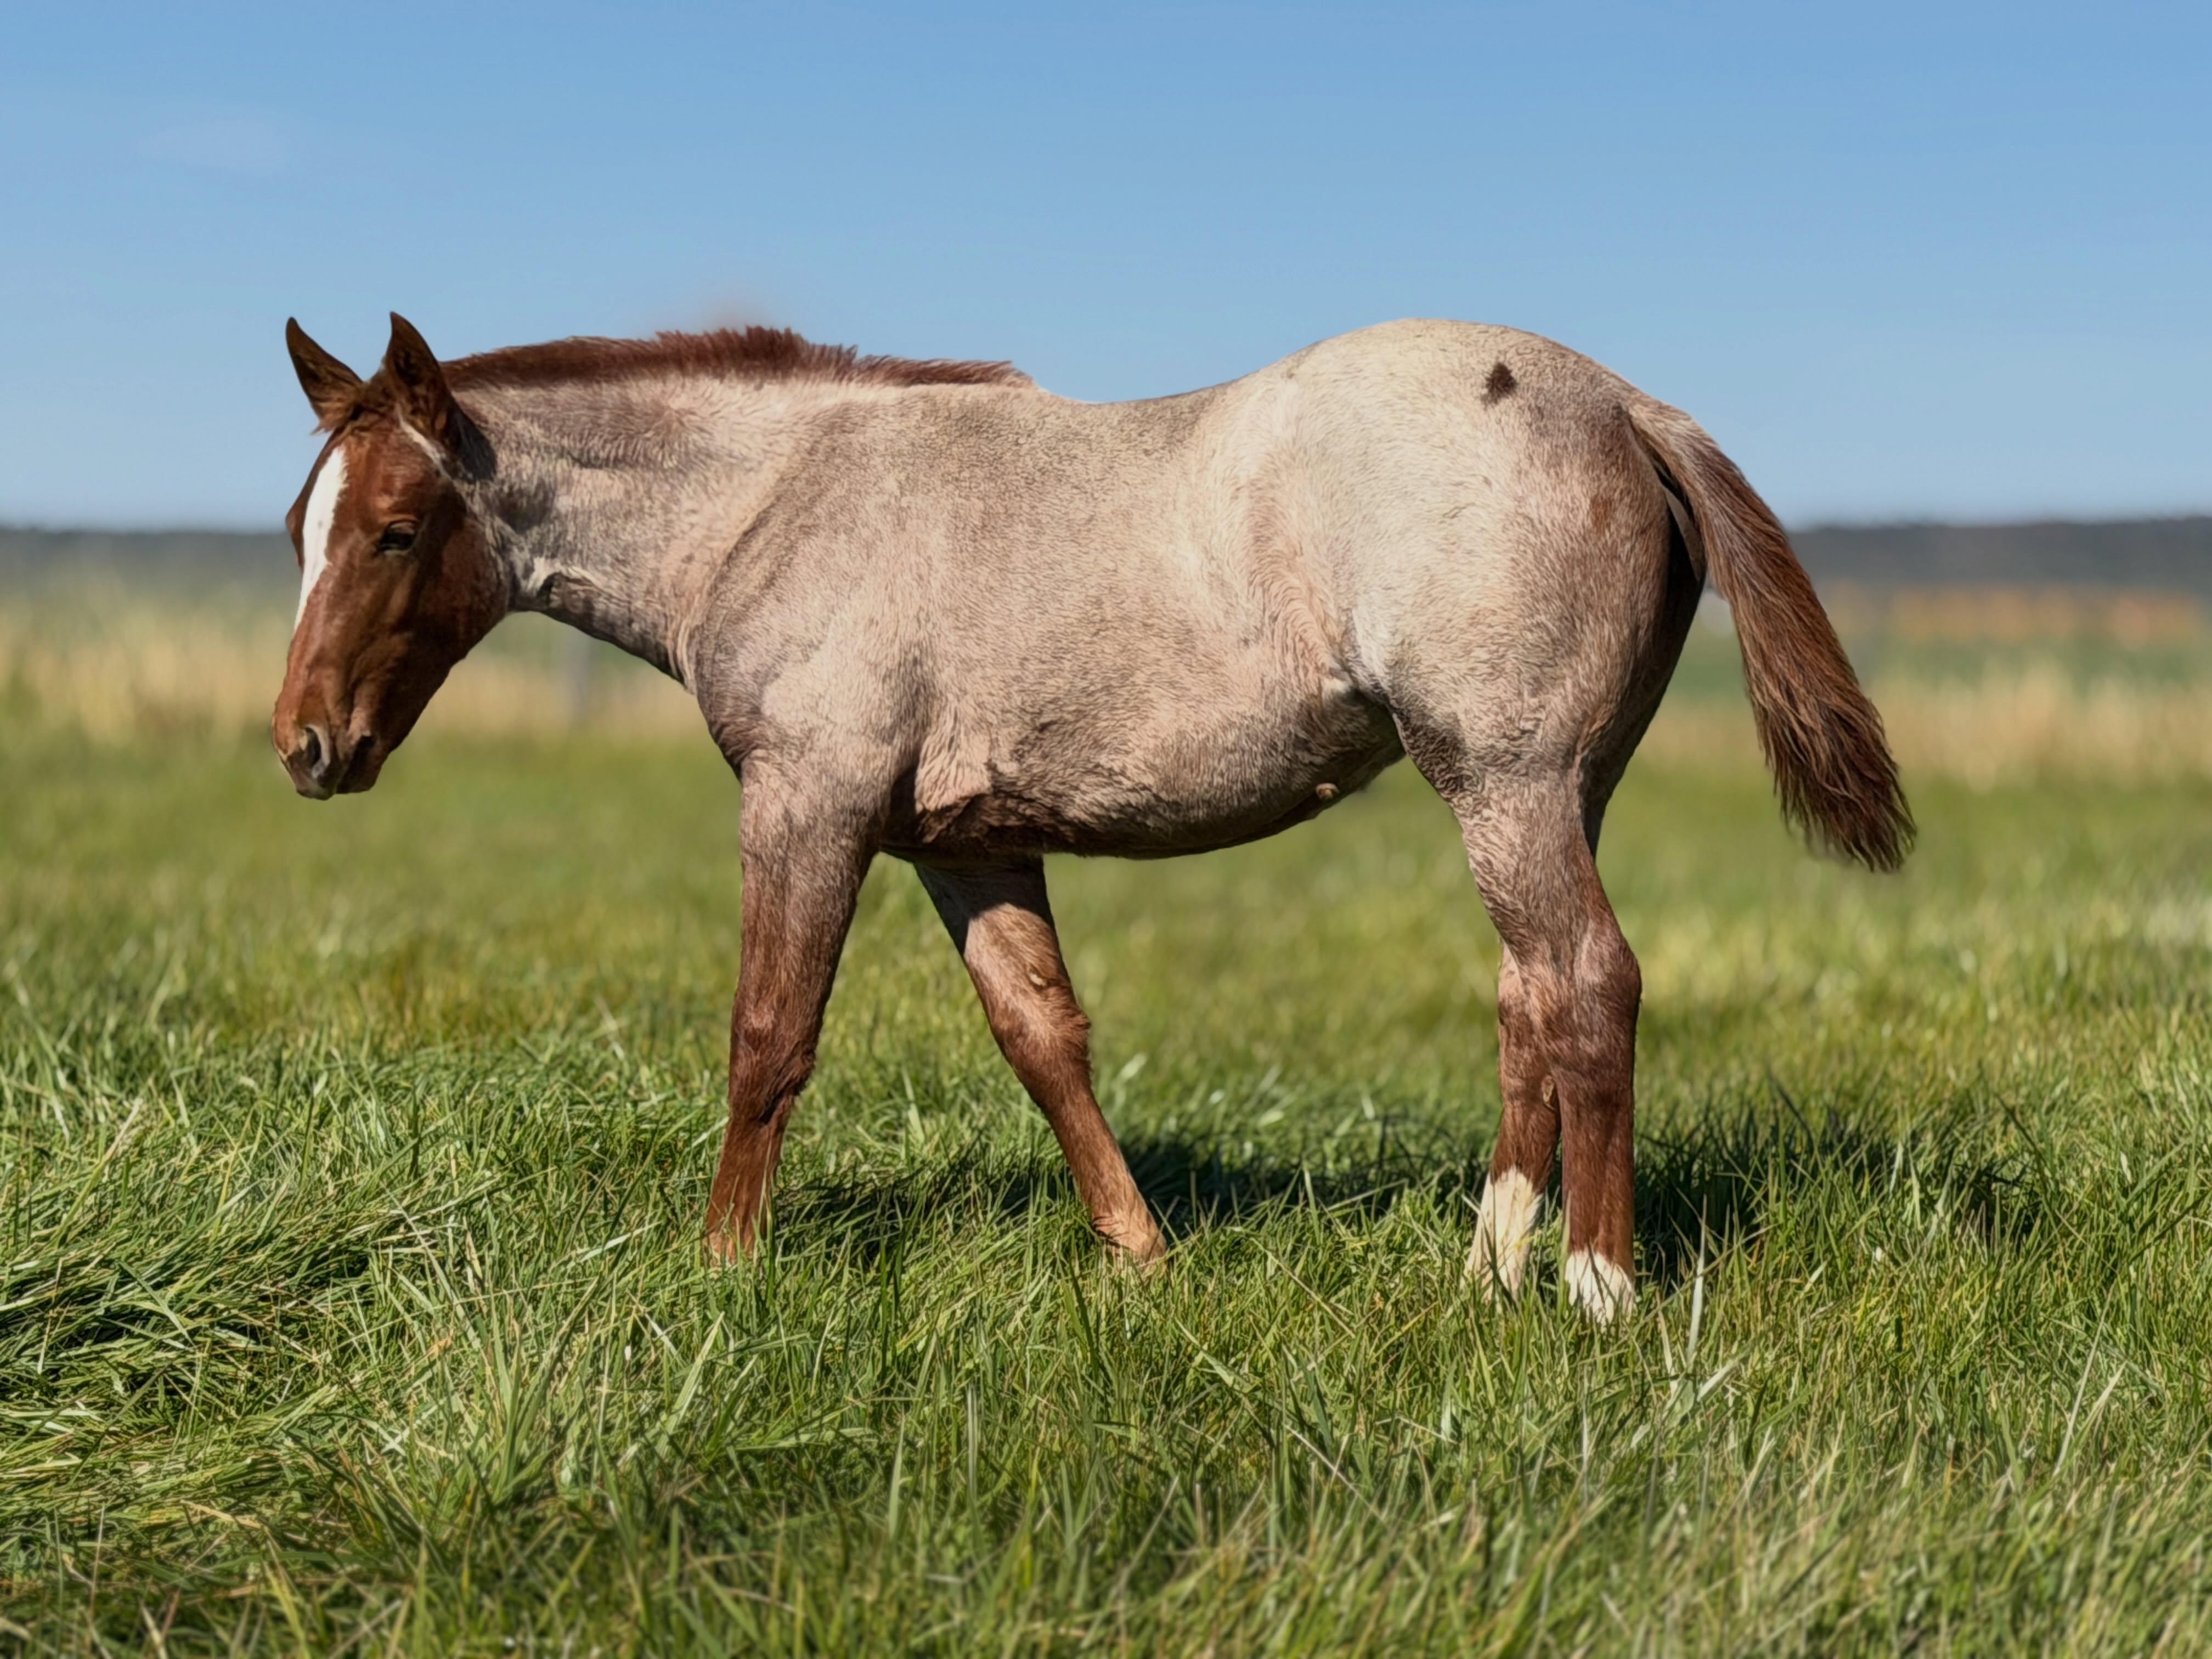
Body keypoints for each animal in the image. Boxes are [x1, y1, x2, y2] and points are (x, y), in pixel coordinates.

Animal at [273, 312, 1909, 1319]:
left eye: (397, 531)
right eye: (300, 529)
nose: (305, 748)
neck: (781, 500)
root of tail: (1624, 403)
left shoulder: (810, 804)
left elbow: (769, 1036)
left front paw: (727, 1266)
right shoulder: (968, 842)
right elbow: (1042, 1036)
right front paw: (1142, 1257)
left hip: (1505, 783)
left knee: (1588, 984)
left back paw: (1595, 1287)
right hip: (1554, 790)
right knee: (1531, 995)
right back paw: (1489, 1267)